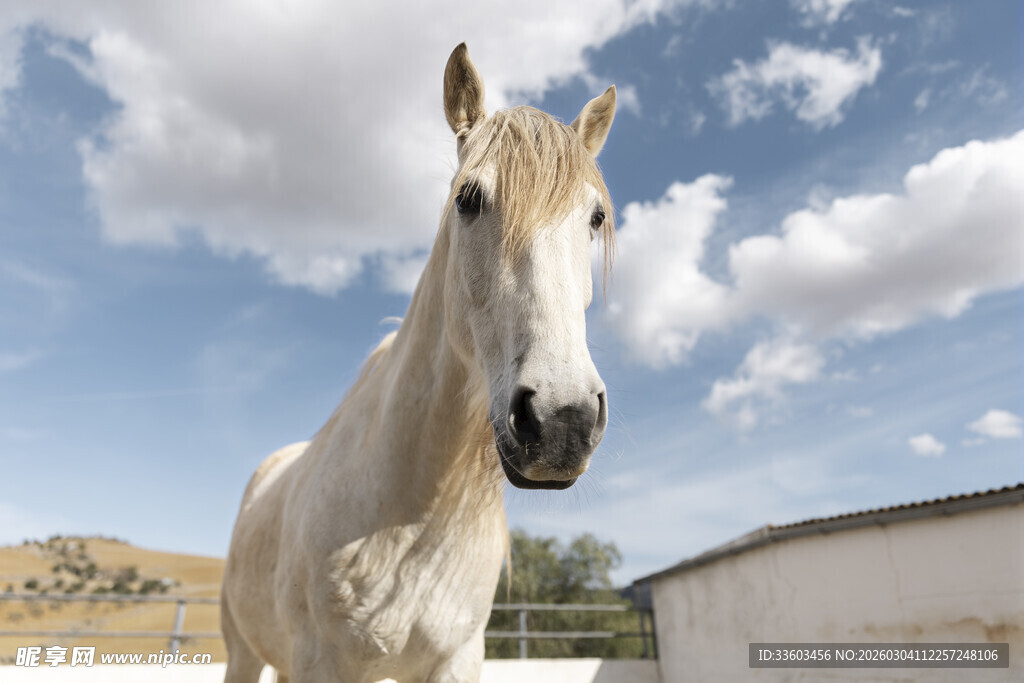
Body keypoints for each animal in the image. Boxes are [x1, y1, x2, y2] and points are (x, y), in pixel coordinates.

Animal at [221, 43, 617, 683]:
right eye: (468, 199)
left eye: (596, 218)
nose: (563, 420)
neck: (411, 509)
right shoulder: (320, 661)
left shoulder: (456, 659)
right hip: (243, 652)